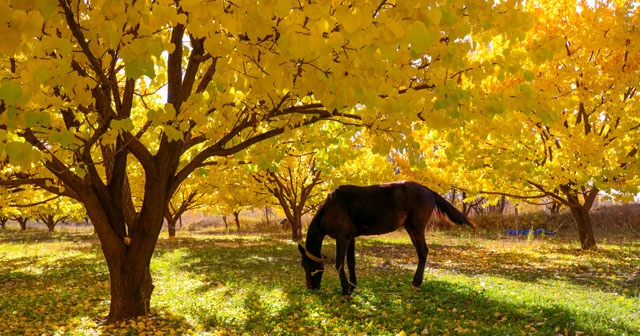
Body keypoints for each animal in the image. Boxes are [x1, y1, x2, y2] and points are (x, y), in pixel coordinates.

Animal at [296, 181, 476, 296]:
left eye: (306, 265)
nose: (311, 288)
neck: (331, 207)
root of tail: (428, 190)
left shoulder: (342, 237)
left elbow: (339, 263)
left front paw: (346, 291)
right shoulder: (350, 238)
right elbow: (351, 262)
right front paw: (353, 287)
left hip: (416, 228)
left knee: (423, 252)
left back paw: (416, 283)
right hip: (411, 229)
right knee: (421, 253)